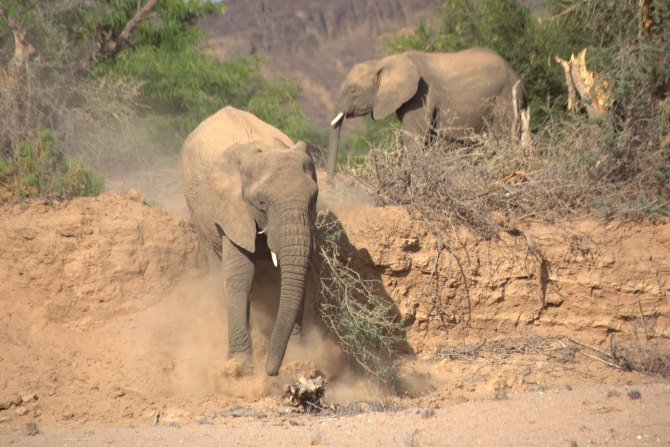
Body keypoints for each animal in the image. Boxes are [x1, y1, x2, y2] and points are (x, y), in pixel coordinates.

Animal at [181, 107, 320, 376]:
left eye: (313, 198)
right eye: (262, 202)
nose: (271, 371)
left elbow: (298, 276)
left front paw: (299, 360)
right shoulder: (232, 210)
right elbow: (240, 277)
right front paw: (240, 368)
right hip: (195, 208)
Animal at [328, 48, 532, 175]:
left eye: (353, 91)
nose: (331, 183)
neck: (385, 62)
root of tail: (521, 83)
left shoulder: (421, 95)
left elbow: (415, 140)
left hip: (502, 99)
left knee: (500, 141)